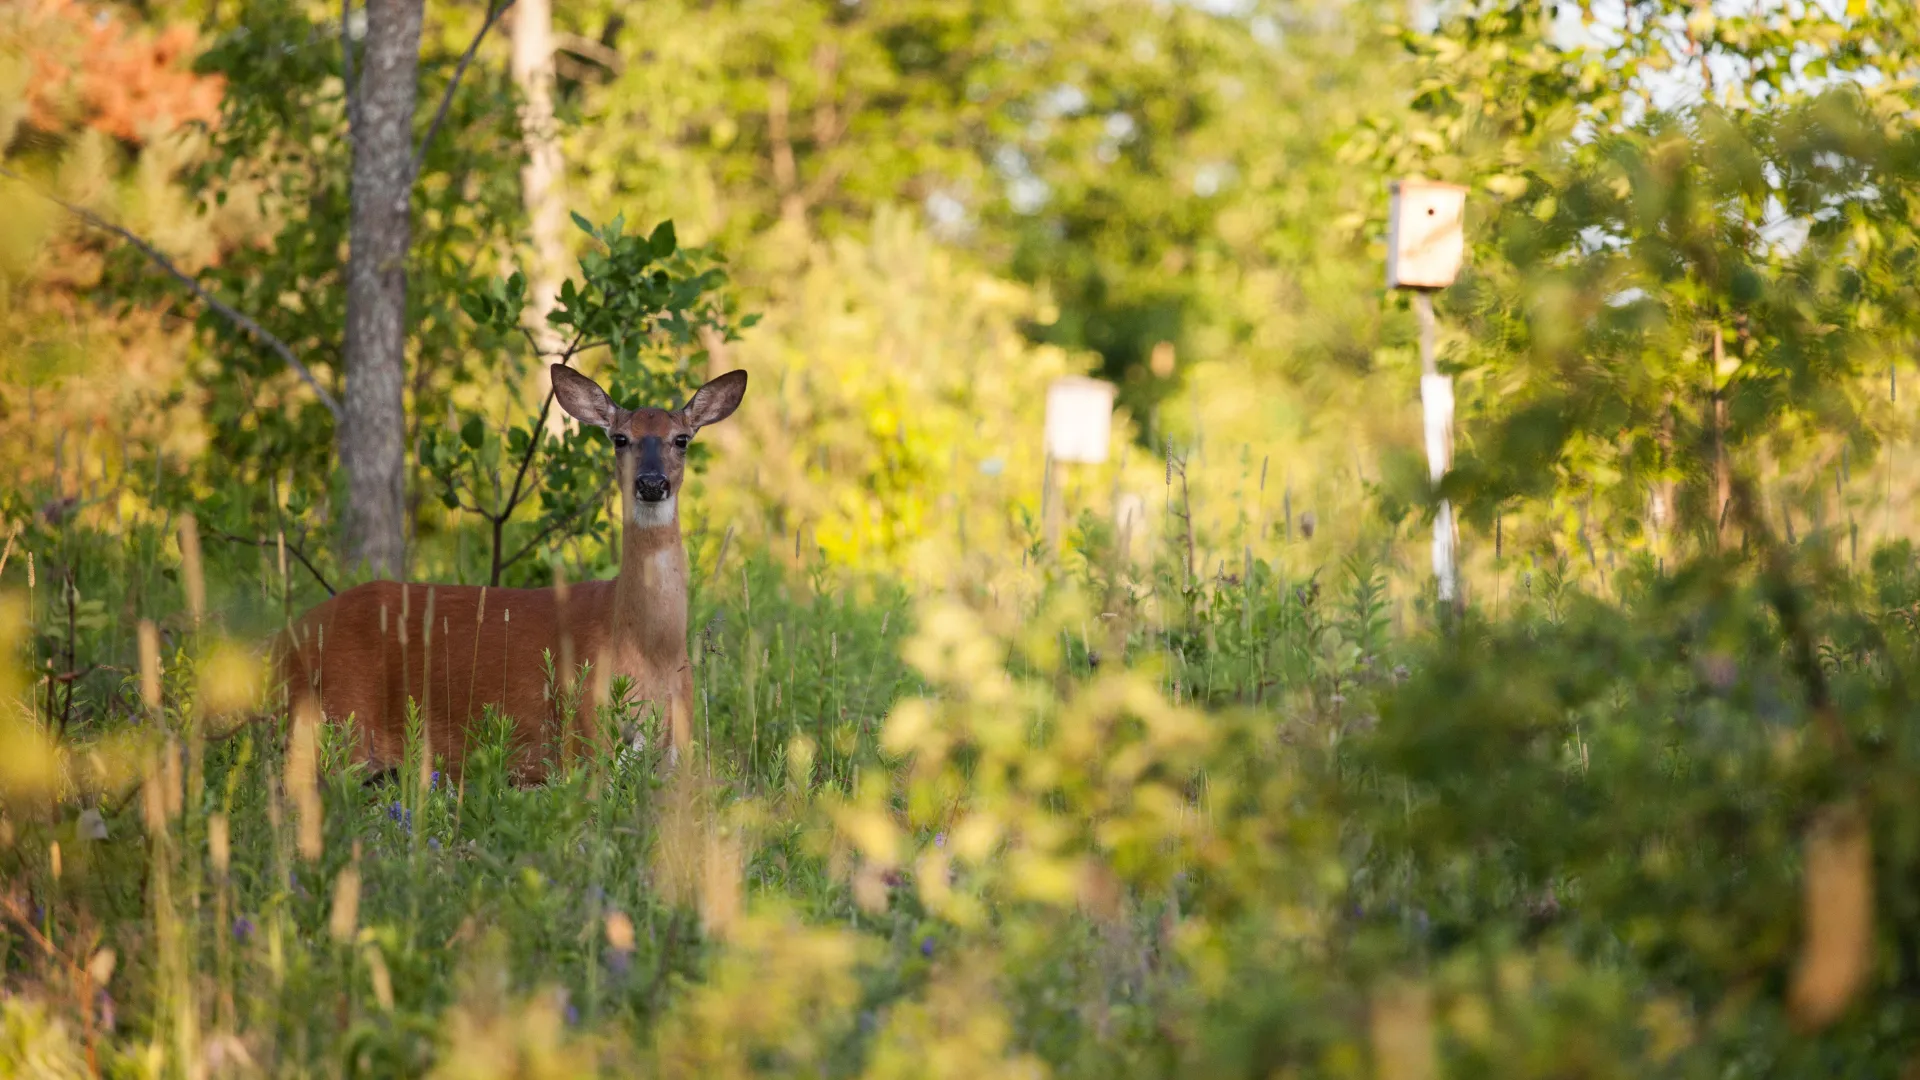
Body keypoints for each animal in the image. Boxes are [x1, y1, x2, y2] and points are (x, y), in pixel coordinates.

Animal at [272, 364, 747, 783]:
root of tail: (278, 645)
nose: (651, 483)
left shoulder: (675, 747)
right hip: (336, 722)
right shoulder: (582, 732)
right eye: (619, 438)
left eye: (681, 439)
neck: (648, 650)